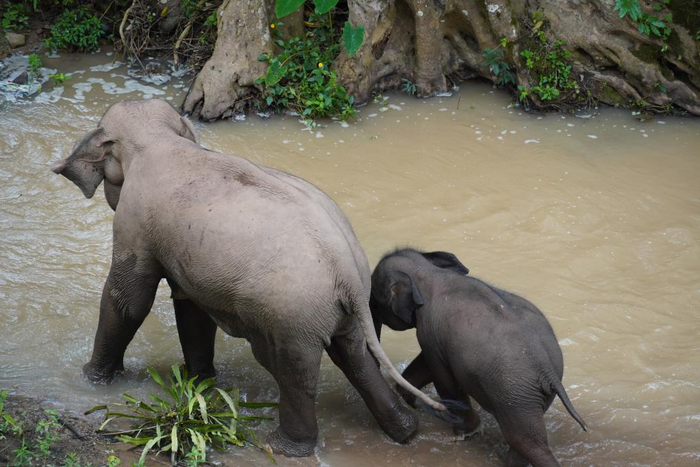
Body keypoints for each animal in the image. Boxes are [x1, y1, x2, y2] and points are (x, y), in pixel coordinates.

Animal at [50, 99, 446, 457]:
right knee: (356, 357)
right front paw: (199, 384)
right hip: (341, 308)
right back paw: (406, 432)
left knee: (293, 372)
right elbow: (190, 305)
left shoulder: (134, 221)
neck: (162, 141)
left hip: (290, 316)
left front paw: (92, 381)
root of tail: (345, 266)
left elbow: (130, 300)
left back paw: (282, 447)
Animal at [369, 248, 587, 467]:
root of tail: (546, 368)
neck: (429, 272)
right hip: (530, 395)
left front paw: (464, 433)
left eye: (375, 299)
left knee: (526, 441)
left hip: (514, 393)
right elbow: (427, 366)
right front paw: (409, 399)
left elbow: (441, 375)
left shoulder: (429, 331)